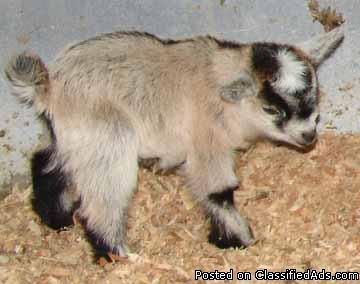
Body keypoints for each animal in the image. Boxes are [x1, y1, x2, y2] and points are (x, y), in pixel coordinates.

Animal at [4, 27, 344, 260]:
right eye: (272, 109)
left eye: (314, 95)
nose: (308, 136)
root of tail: (48, 87)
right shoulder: (207, 144)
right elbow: (217, 192)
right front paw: (239, 241)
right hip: (108, 138)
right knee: (103, 198)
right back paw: (118, 255)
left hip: (75, 138)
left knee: (47, 162)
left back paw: (57, 220)